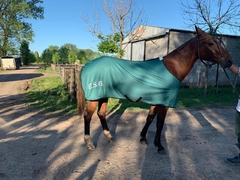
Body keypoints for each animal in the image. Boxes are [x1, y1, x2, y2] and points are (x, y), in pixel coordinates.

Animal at [77, 26, 232, 154]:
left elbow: (150, 118)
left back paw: (109, 137)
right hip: (94, 98)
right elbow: (160, 124)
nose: (229, 61)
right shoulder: (164, 103)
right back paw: (89, 143)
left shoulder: (156, 100)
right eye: (210, 43)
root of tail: (87, 64)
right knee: (88, 116)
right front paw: (159, 145)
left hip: (103, 95)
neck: (172, 68)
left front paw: (143, 138)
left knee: (101, 114)